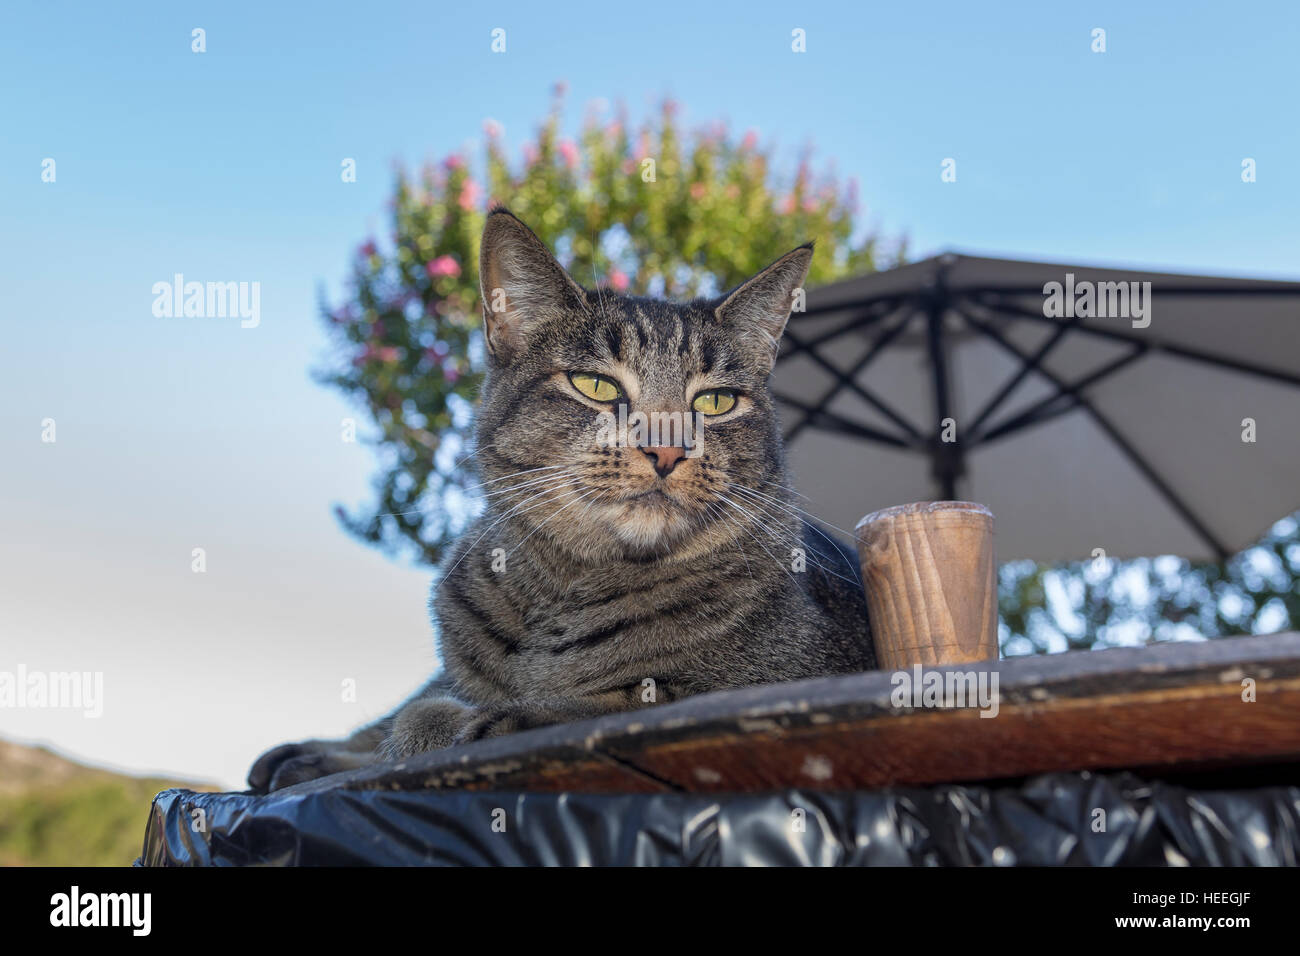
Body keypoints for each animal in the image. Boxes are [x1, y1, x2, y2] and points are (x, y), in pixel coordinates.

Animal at [245, 209, 873, 790]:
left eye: (715, 401)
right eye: (595, 386)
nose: (667, 450)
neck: (561, 593)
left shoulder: (784, 679)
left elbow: (607, 702)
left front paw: (483, 720)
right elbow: (418, 711)